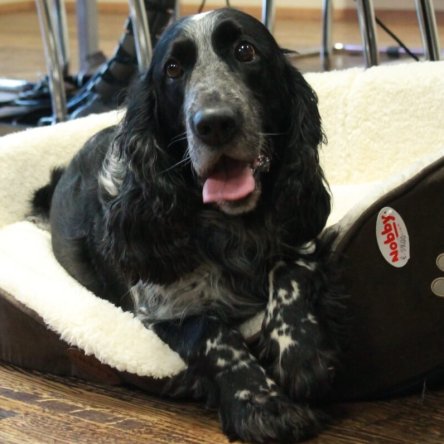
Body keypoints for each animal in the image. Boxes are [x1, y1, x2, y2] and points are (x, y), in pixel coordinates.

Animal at [33, 8, 344, 443]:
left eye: (245, 51)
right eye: (173, 69)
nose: (214, 123)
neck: (233, 230)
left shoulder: (300, 240)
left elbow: (288, 272)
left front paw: (301, 353)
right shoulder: (161, 310)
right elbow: (211, 333)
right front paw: (261, 404)